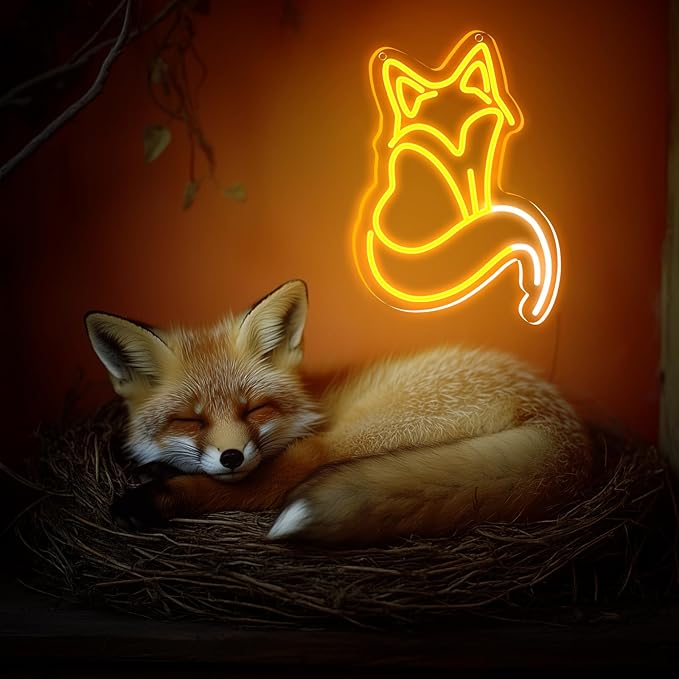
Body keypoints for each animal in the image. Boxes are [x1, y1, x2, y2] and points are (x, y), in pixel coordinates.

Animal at [85, 279, 592, 545]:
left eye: (255, 409)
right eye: (190, 419)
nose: (231, 457)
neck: (312, 397)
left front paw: (154, 491)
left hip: (349, 439)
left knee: (279, 484)